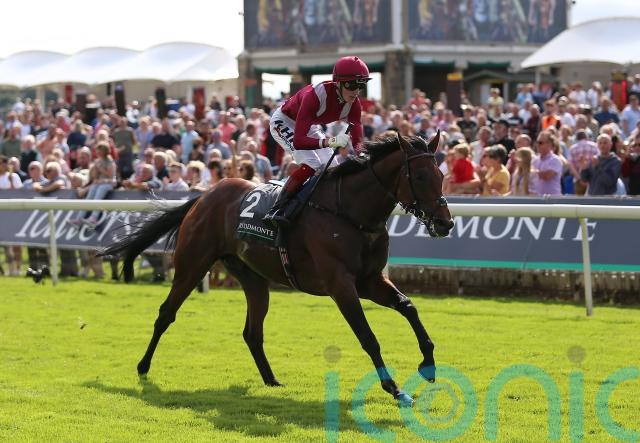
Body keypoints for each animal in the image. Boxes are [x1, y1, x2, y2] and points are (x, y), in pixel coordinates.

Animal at [101, 132, 454, 405]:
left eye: (441, 176)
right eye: (420, 177)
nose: (445, 223)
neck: (351, 213)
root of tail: (203, 197)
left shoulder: (370, 280)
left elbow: (408, 306)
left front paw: (428, 363)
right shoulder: (341, 285)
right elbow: (368, 337)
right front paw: (394, 388)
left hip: (254, 278)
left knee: (252, 332)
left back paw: (271, 380)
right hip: (192, 264)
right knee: (166, 314)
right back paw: (143, 366)